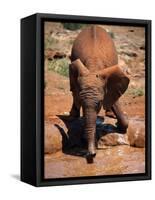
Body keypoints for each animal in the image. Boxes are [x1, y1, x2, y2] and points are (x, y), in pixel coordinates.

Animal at [69, 25, 130, 162]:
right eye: (82, 103)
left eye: (99, 104)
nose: (92, 154)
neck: (93, 68)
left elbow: (114, 101)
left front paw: (118, 124)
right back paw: (72, 116)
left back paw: (110, 115)